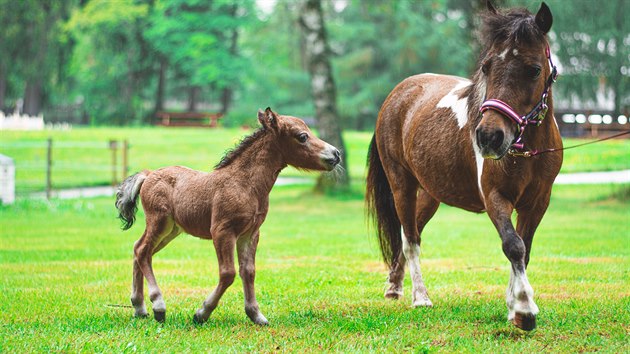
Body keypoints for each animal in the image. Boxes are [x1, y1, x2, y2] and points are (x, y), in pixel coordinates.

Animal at [113, 108, 340, 326]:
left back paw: (139, 308)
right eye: (302, 136)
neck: (245, 184)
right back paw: (158, 306)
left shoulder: (250, 233)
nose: (336, 153)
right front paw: (202, 313)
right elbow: (228, 273)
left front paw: (256, 315)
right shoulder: (223, 231)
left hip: (171, 230)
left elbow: (248, 271)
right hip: (159, 222)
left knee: (139, 249)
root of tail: (148, 175)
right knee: (143, 251)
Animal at [366, 1, 564, 330]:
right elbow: (513, 245)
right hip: (401, 186)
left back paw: (395, 286)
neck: (528, 151)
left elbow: (524, 249)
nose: (488, 137)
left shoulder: (538, 202)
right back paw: (420, 297)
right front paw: (523, 308)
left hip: (430, 194)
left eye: (534, 69)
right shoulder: (496, 197)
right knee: (411, 239)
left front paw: (513, 307)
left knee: (412, 231)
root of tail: (398, 94)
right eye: (486, 67)